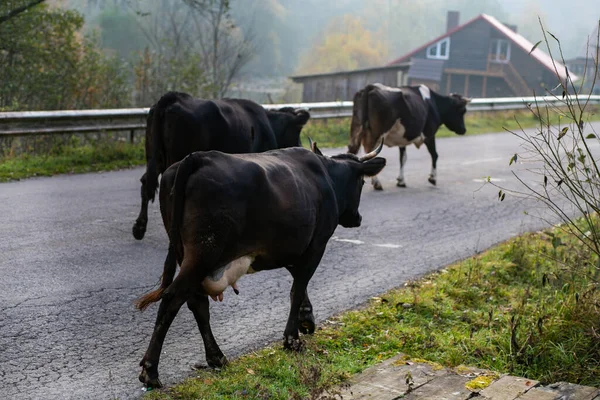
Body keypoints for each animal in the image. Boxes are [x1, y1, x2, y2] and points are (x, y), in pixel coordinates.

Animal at [131, 91, 310, 241]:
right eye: (297, 131)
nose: (300, 147)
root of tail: (174, 96)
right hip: (175, 159)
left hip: (154, 156)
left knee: (146, 183)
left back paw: (139, 228)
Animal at [134, 140, 386, 388]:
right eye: (362, 181)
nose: (357, 218)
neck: (326, 176)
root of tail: (197, 158)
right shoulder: (316, 245)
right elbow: (297, 288)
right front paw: (292, 339)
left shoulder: (286, 249)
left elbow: (299, 283)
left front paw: (306, 320)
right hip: (204, 252)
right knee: (173, 298)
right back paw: (151, 370)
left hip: (185, 252)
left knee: (196, 303)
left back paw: (216, 357)